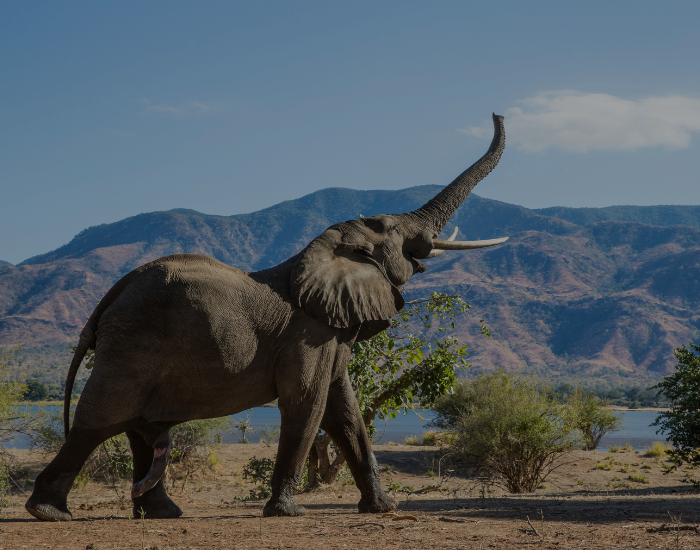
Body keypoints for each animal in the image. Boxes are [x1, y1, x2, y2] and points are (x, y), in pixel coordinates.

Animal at [25, 113, 507, 522]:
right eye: (391, 229)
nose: (498, 113)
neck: (322, 251)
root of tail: (108, 299)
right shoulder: (308, 336)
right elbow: (307, 404)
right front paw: (287, 512)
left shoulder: (330, 334)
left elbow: (345, 412)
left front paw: (383, 508)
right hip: (131, 345)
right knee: (100, 421)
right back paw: (48, 513)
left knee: (137, 429)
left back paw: (162, 513)